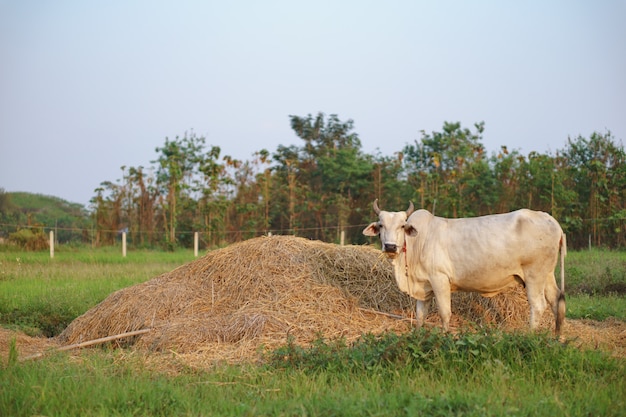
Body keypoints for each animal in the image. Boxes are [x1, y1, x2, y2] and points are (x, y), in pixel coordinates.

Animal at [360, 199, 564, 334]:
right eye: (381, 225)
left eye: (402, 226)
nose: (390, 247)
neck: (416, 244)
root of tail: (550, 220)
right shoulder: (424, 286)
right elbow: (420, 315)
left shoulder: (440, 279)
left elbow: (444, 312)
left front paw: (444, 336)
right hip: (547, 275)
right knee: (557, 301)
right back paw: (557, 338)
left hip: (534, 275)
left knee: (538, 305)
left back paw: (530, 336)